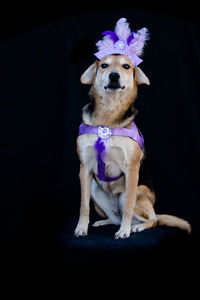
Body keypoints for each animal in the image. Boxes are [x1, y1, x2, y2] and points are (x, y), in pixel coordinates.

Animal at [74, 55, 191, 239]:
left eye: (126, 66)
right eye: (104, 65)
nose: (114, 76)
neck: (108, 119)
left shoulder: (131, 169)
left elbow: (128, 205)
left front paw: (124, 231)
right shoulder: (85, 169)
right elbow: (83, 206)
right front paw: (81, 227)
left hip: (137, 193)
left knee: (152, 219)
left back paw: (135, 227)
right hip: (94, 189)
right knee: (115, 218)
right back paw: (104, 222)